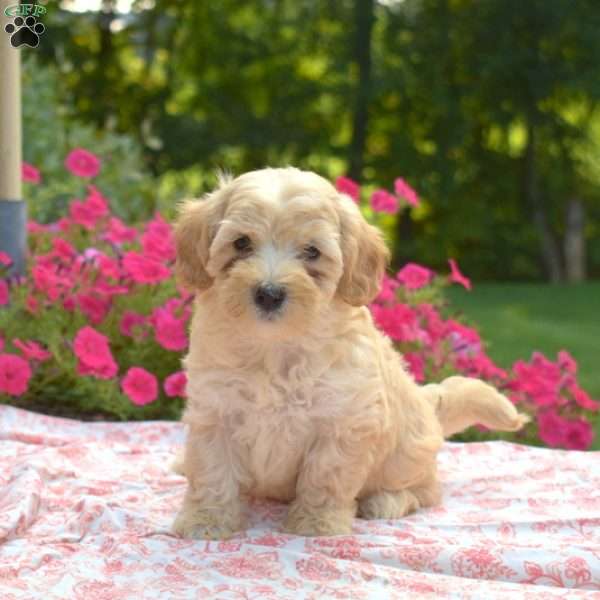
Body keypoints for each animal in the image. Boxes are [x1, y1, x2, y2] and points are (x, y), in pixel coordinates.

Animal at [171, 168, 528, 540]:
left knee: (427, 491)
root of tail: (426, 401)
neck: (276, 347)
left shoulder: (343, 421)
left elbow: (325, 476)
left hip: (405, 457)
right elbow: (213, 471)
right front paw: (206, 521)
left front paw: (316, 523)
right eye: (241, 243)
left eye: (312, 251)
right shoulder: (215, 411)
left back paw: (385, 502)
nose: (269, 293)